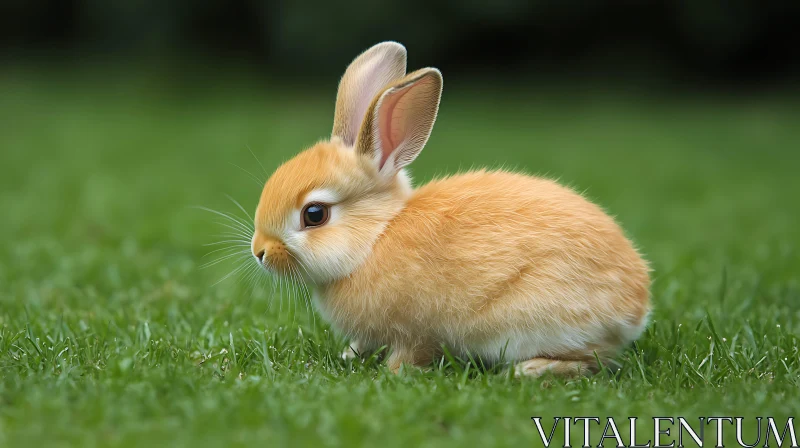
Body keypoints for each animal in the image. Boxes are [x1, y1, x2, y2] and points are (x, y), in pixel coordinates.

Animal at [250, 42, 648, 376]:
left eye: (314, 215)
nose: (260, 252)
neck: (376, 237)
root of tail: (637, 307)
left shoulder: (414, 331)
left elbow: (410, 352)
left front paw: (391, 373)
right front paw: (351, 354)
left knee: (592, 361)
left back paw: (531, 370)